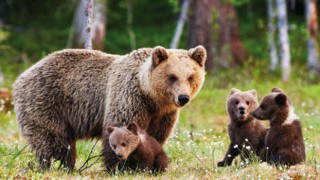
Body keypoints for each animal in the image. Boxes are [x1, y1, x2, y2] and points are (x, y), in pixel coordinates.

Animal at [12, 45, 206, 170]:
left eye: (190, 77)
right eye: (172, 77)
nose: (183, 98)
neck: (151, 97)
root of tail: (22, 75)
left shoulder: (163, 114)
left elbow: (156, 136)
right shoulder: (130, 97)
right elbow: (121, 128)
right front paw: (122, 166)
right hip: (47, 102)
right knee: (53, 139)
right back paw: (60, 165)